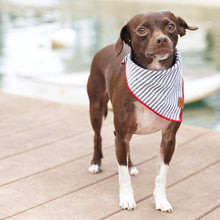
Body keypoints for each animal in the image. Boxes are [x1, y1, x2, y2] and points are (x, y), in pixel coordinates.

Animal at [86, 11, 198, 212]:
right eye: (142, 30)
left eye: (170, 26)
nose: (162, 40)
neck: (154, 76)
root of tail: (106, 47)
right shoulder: (122, 134)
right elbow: (122, 175)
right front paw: (126, 199)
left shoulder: (169, 138)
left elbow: (162, 174)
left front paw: (161, 200)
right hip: (96, 109)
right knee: (97, 136)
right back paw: (96, 163)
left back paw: (130, 165)